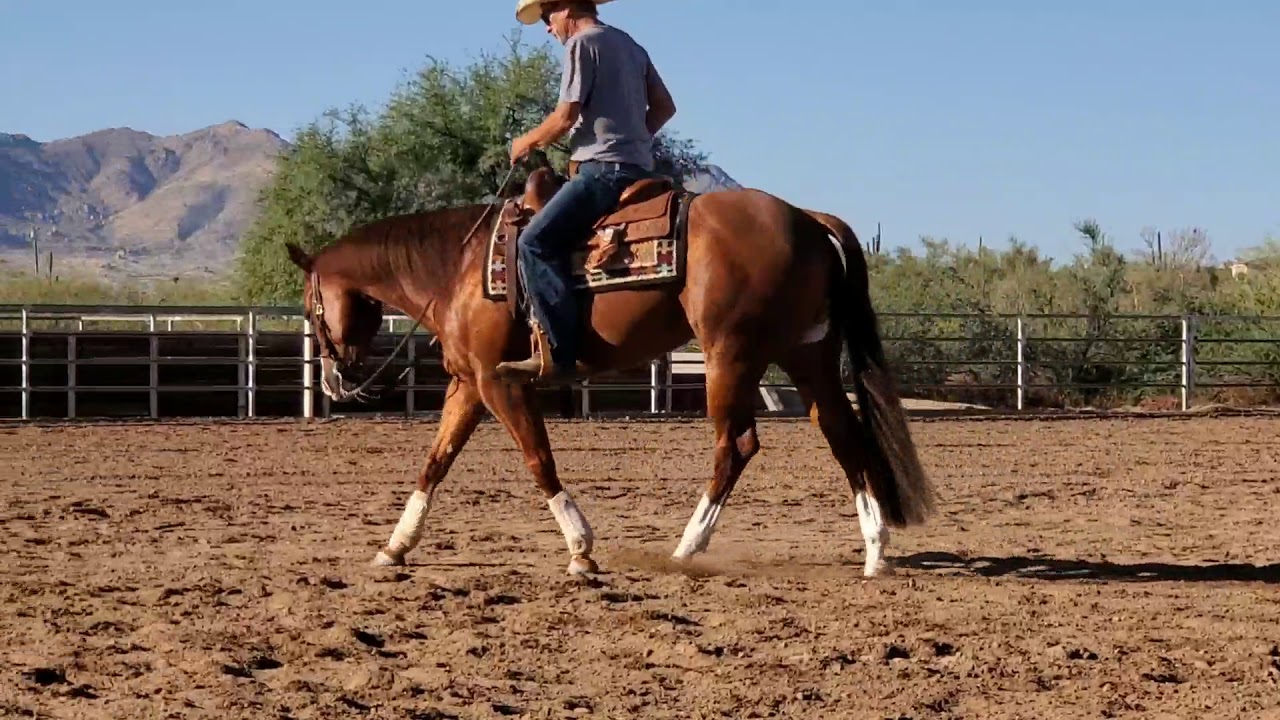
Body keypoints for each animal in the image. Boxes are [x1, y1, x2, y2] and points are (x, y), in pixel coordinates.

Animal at [283, 166, 936, 578]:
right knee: (843, 434)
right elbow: (435, 463)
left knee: (737, 444)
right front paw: (394, 547)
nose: (336, 381)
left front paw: (581, 549)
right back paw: (874, 551)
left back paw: (686, 548)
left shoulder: (501, 382)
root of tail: (806, 217)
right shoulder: (469, 384)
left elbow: (538, 460)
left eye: (311, 305)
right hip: (807, 354)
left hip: (730, 354)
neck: (459, 267)